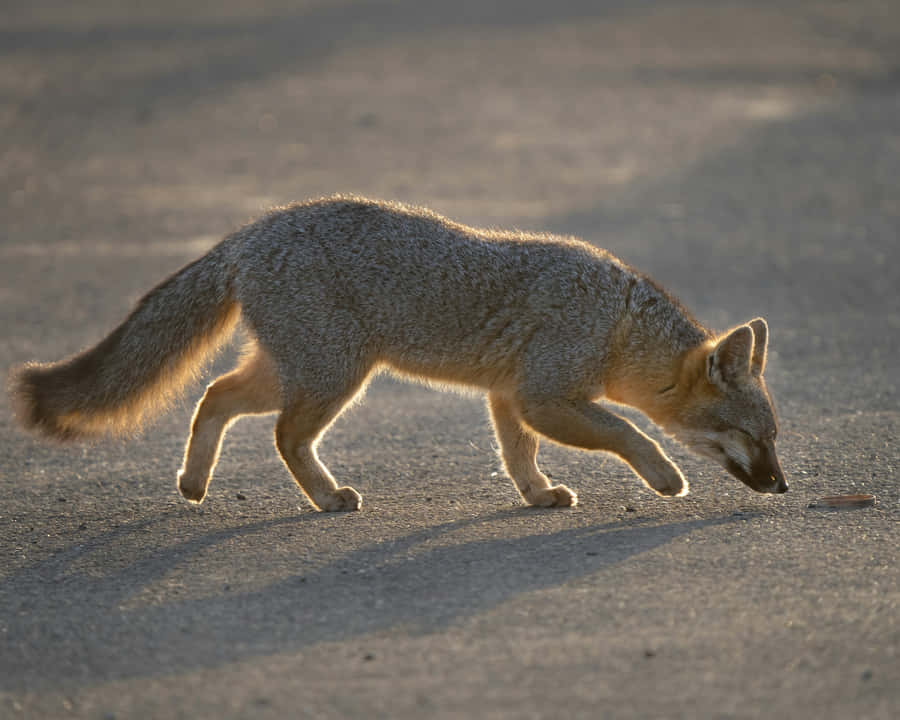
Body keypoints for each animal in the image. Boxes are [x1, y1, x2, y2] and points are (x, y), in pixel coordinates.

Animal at [8, 195, 787, 511]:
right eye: (751, 438)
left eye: (774, 438)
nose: (782, 486)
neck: (618, 320)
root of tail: (253, 230)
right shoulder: (544, 395)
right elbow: (629, 432)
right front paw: (663, 477)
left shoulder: (508, 395)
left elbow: (518, 455)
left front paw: (537, 495)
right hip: (333, 376)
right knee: (282, 435)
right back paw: (327, 498)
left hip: (294, 371)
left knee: (214, 396)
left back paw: (195, 485)